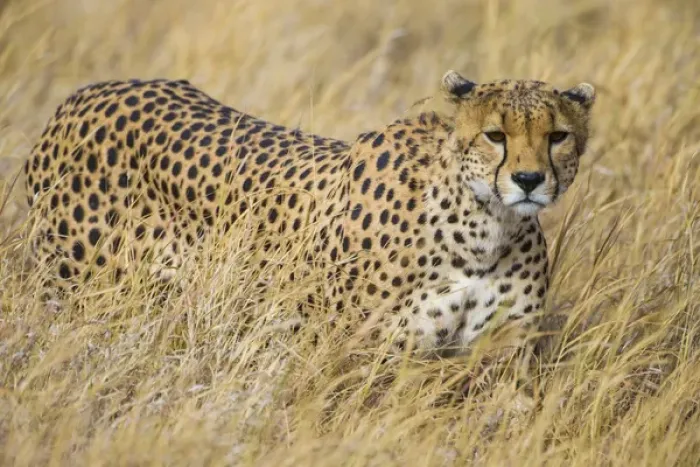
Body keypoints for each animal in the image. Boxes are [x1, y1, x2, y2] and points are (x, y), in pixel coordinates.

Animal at [24, 69, 595, 359]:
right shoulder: (360, 358)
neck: (483, 228)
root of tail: (95, 90)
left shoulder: (498, 357)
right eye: (495, 135)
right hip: (75, 296)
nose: (529, 180)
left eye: (557, 136)